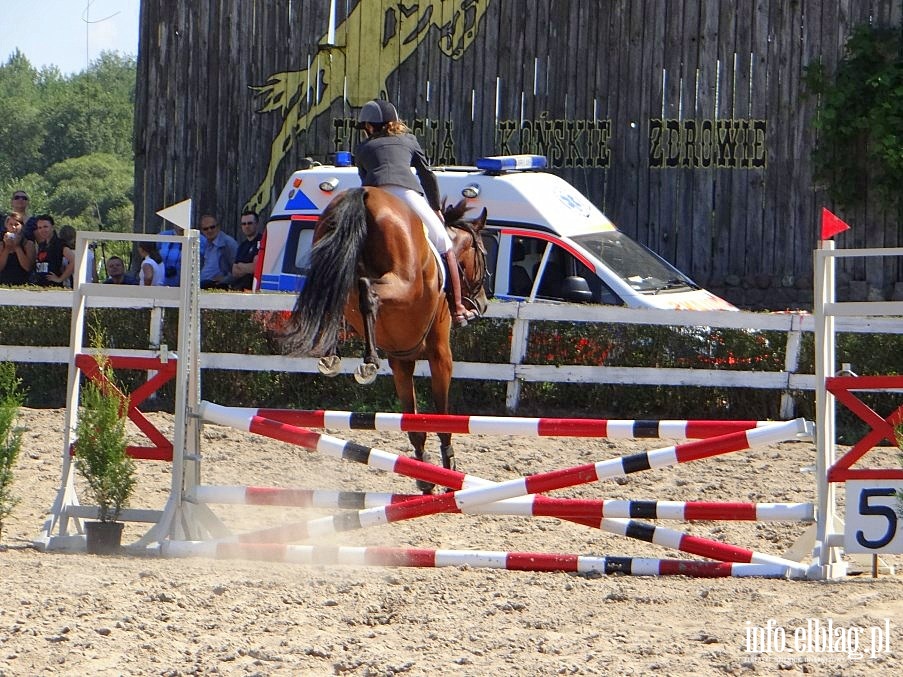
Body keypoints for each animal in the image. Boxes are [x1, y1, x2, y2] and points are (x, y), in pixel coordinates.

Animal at [288, 187, 488, 488]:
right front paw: (447, 467)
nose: (483, 304)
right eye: (484, 254)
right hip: (400, 282)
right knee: (366, 291)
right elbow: (440, 420)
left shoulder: (401, 361)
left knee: (338, 293)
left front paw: (424, 474)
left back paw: (332, 356)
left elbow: (415, 424)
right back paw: (368, 360)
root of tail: (365, 194)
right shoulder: (441, 356)